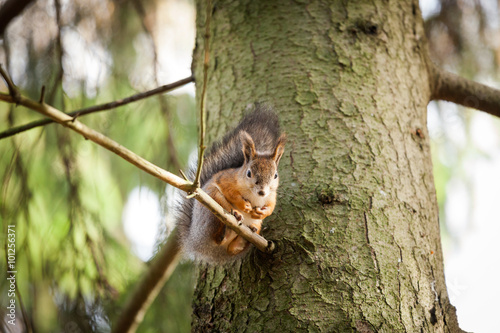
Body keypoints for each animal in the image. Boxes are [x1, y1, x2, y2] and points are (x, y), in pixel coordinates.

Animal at [177, 107, 286, 264]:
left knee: (232, 249)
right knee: (218, 235)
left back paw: (244, 237)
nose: (262, 192)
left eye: (275, 175)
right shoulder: (226, 180)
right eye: (249, 173)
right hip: (210, 209)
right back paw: (230, 225)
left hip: (252, 228)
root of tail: (195, 242)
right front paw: (244, 205)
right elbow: (232, 194)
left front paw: (261, 212)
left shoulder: (272, 196)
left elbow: (271, 207)